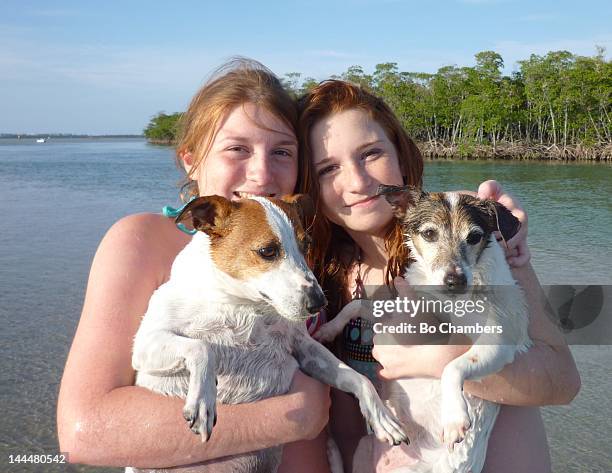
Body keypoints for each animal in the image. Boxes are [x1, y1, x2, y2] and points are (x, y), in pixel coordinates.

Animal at [128, 194, 406, 470]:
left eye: (306, 245)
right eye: (267, 251)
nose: (319, 303)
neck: (243, 306)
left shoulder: (306, 349)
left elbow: (358, 379)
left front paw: (382, 417)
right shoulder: (145, 345)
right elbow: (202, 347)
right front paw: (203, 399)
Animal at [316, 185, 532, 472]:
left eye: (475, 236)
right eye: (429, 233)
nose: (455, 281)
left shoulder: (497, 343)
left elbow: (452, 366)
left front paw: (454, 418)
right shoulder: (399, 312)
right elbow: (356, 305)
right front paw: (328, 329)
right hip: (364, 447)